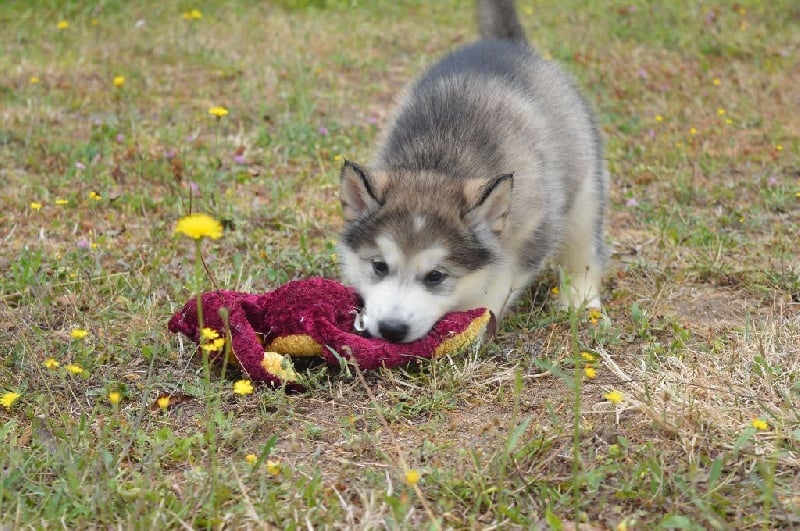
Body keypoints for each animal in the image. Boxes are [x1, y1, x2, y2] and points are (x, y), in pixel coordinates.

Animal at [336, 0, 608, 342]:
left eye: (435, 276)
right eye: (379, 267)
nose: (391, 330)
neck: (439, 164)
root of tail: (508, 45)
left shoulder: (537, 228)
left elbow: (501, 278)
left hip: (585, 189)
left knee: (584, 249)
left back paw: (580, 299)